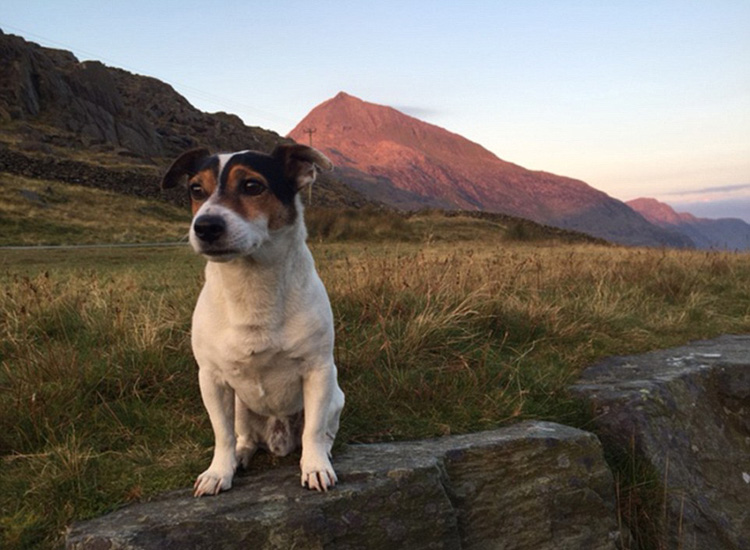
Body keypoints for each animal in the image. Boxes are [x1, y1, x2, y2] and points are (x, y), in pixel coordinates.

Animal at [162, 144, 346, 498]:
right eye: (196, 189)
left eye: (251, 185)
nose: (205, 226)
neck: (251, 284)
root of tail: (277, 440)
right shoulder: (211, 380)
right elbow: (222, 435)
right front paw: (219, 471)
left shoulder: (318, 371)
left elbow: (314, 431)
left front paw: (315, 467)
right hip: (240, 406)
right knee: (243, 437)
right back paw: (241, 456)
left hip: (335, 395)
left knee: (323, 431)